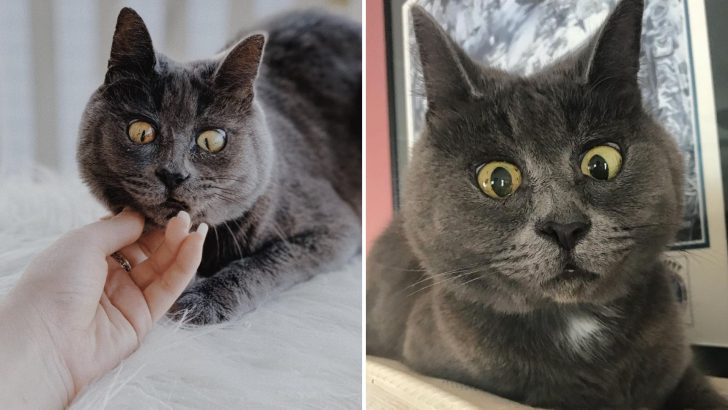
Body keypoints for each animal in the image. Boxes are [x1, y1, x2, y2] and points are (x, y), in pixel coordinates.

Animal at [79, 8, 362, 326]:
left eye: (212, 140)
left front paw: (202, 301)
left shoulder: (333, 228)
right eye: (141, 132)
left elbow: (262, 262)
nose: (173, 174)